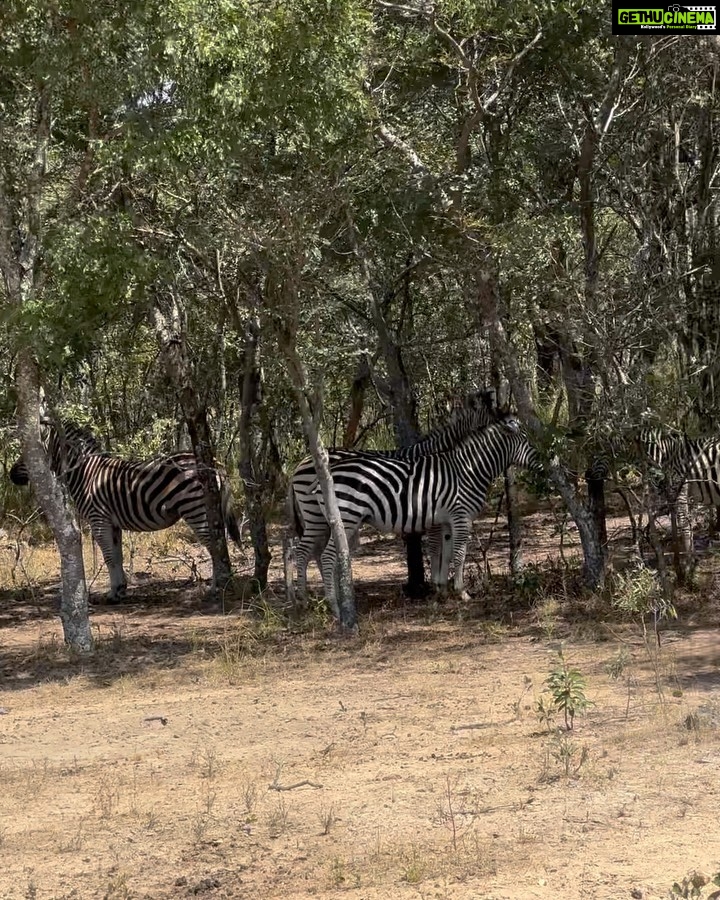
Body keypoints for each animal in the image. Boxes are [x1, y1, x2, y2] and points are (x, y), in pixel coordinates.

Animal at [10, 422, 242, 604]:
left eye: (28, 455)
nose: (11, 475)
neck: (85, 474)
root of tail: (213, 465)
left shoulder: (98, 519)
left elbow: (109, 557)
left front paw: (114, 594)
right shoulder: (113, 523)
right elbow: (118, 556)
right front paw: (121, 589)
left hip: (194, 508)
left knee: (213, 545)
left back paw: (215, 587)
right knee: (220, 541)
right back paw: (226, 581)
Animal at [286, 390, 512, 600]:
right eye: (492, 421)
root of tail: (300, 463)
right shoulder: (434, 512)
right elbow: (435, 547)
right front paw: (437, 585)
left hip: (321, 517)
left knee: (314, 551)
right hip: (317, 514)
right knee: (305, 551)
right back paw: (308, 596)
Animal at [310, 422, 540, 620]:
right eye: (528, 441)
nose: (546, 458)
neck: (469, 471)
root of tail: (323, 479)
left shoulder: (447, 521)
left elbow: (445, 555)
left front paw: (442, 590)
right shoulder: (461, 516)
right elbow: (459, 555)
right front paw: (462, 592)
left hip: (336, 521)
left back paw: (342, 599)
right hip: (347, 517)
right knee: (327, 556)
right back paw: (335, 606)